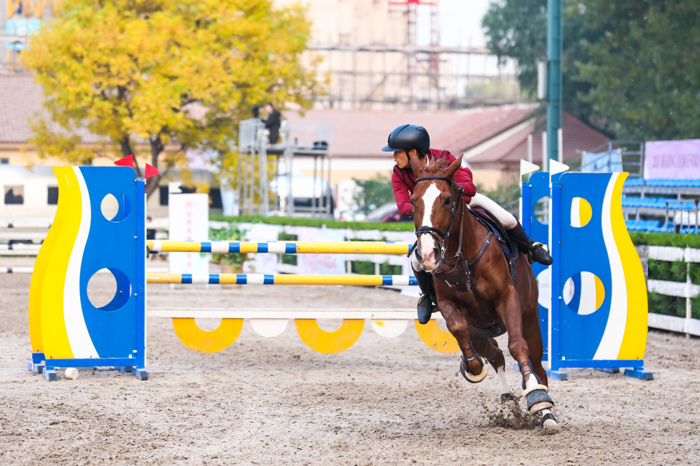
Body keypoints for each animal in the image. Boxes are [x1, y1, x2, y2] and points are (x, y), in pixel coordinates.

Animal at [408, 155, 560, 432]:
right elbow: (458, 327)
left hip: (530, 318)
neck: (464, 256)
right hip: (479, 331)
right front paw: (473, 367)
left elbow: (517, 346)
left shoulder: (507, 298)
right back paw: (508, 398)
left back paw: (545, 411)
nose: (428, 255)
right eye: (413, 201)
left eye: (447, 200)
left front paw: (536, 396)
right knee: (496, 355)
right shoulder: (448, 304)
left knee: (536, 363)